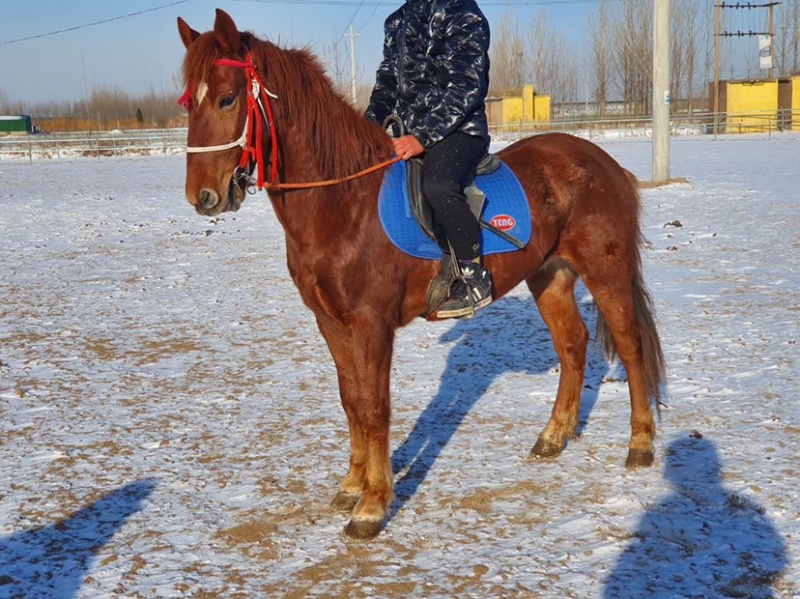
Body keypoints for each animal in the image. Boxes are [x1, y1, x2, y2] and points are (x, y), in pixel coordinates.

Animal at [177, 9, 666, 540]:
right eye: (188, 103)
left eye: (227, 98)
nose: (203, 197)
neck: (343, 202)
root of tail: (604, 163)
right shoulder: (331, 322)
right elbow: (351, 400)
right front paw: (351, 486)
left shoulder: (371, 324)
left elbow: (375, 408)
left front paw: (372, 506)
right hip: (549, 276)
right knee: (573, 345)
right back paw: (553, 437)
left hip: (606, 272)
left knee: (630, 347)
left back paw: (640, 445)